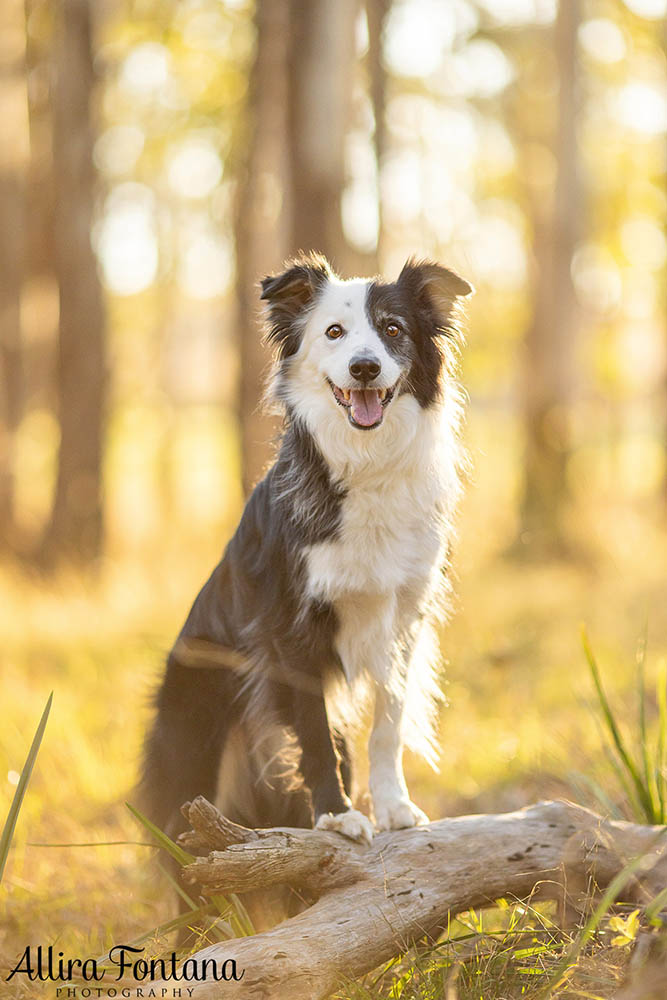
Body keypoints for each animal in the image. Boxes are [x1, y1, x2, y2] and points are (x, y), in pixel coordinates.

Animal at [142, 252, 474, 844]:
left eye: (393, 329)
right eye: (334, 332)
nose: (365, 368)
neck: (366, 464)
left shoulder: (403, 620)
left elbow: (386, 725)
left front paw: (392, 807)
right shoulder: (291, 626)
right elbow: (316, 731)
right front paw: (337, 815)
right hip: (192, 737)